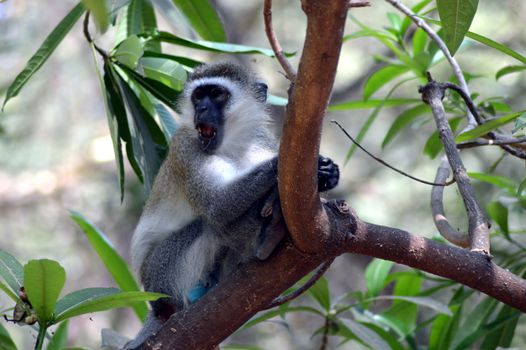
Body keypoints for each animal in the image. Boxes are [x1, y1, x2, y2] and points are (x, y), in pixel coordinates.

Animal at [129, 62, 342, 348]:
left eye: (217, 94)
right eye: (198, 96)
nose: (202, 109)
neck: (233, 143)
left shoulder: (260, 140)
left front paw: (328, 175)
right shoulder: (186, 146)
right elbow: (217, 205)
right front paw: (292, 172)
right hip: (161, 274)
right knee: (209, 224)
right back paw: (269, 235)